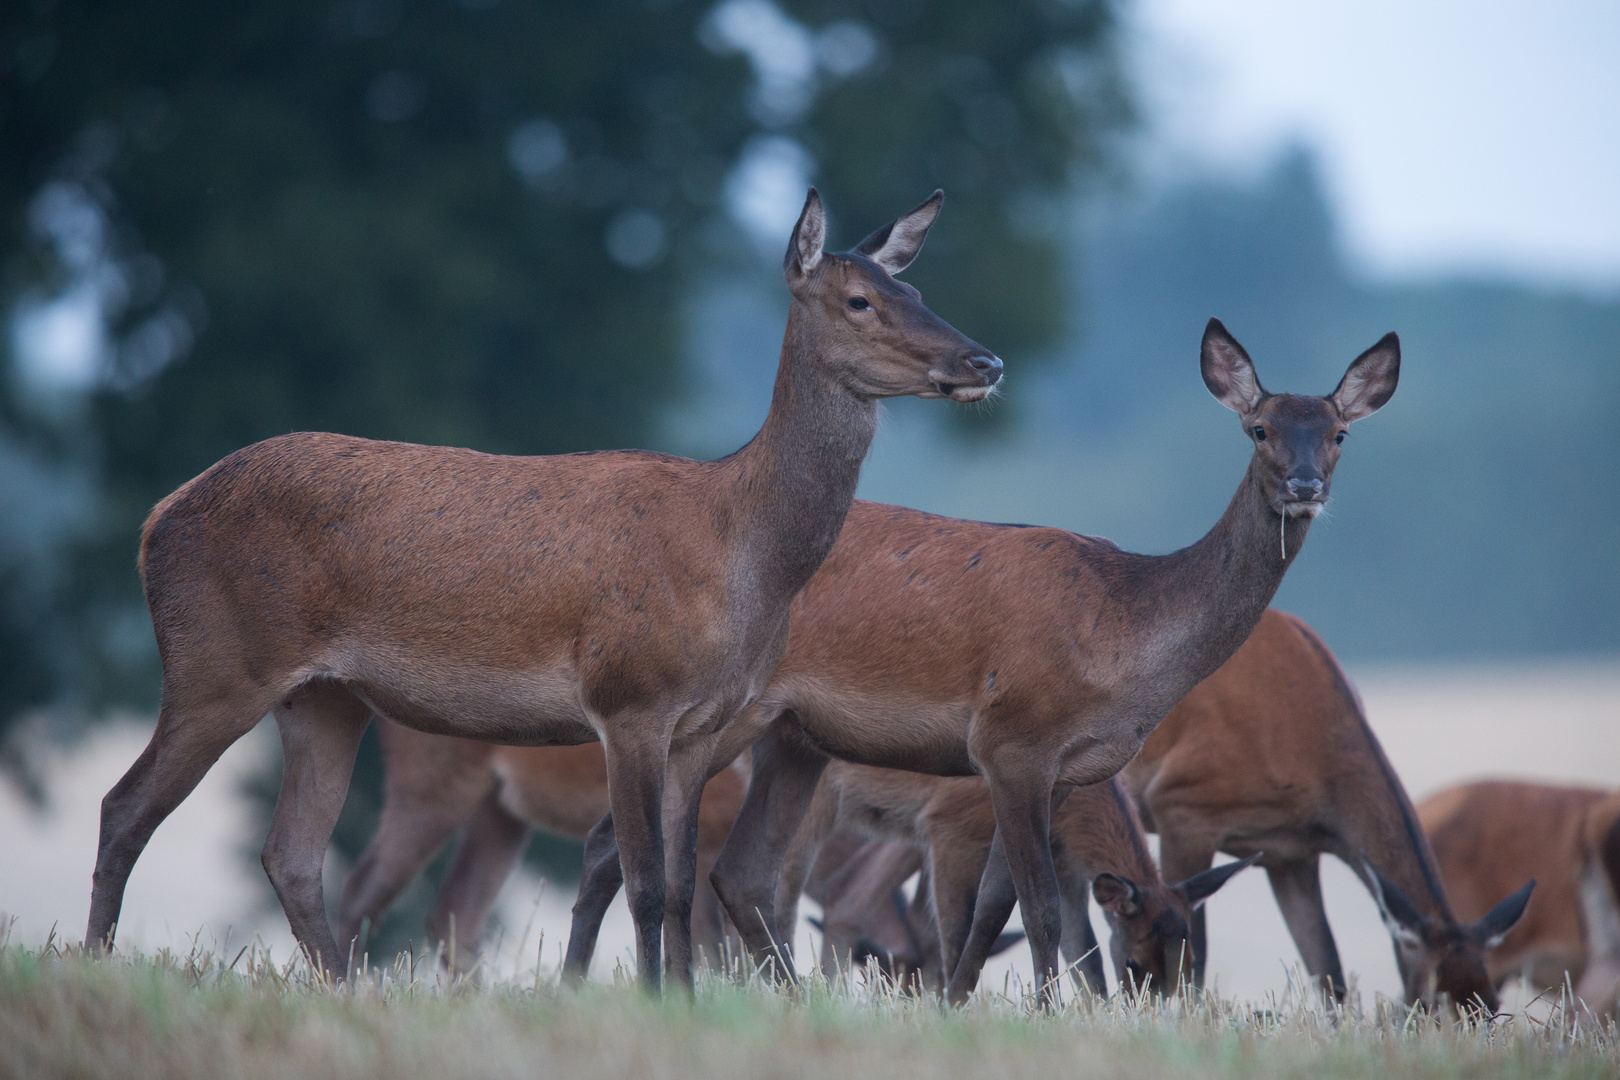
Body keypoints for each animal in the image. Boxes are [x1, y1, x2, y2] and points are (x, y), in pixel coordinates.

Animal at [88, 187, 1004, 990]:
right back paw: (94, 963)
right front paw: (652, 1002)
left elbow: (679, 885)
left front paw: (683, 1002)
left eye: (915, 287)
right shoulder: (629, 698)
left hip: (324, 697)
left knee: (292, 854)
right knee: (126, 808)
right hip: (217, 663)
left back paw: (342, 990)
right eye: (859, 299)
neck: (742, 554)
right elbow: (645, 881)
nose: (985, 359)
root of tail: (156, 521)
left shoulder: (703, 724)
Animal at [771, 767, 1250, 997]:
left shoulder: (1067, 866)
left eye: (1189, 963)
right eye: (1133, 964)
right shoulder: (948, 828)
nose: (1152, 1011)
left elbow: (1085, 954)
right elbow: (953, 937)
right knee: (784, 881)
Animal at [1095, 612, 1535, 1016]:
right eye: (1431, 1005)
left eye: (1494, 1007)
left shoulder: (1291, 853)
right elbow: (1194, 961)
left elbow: (1329, 971)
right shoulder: (1182, 807)